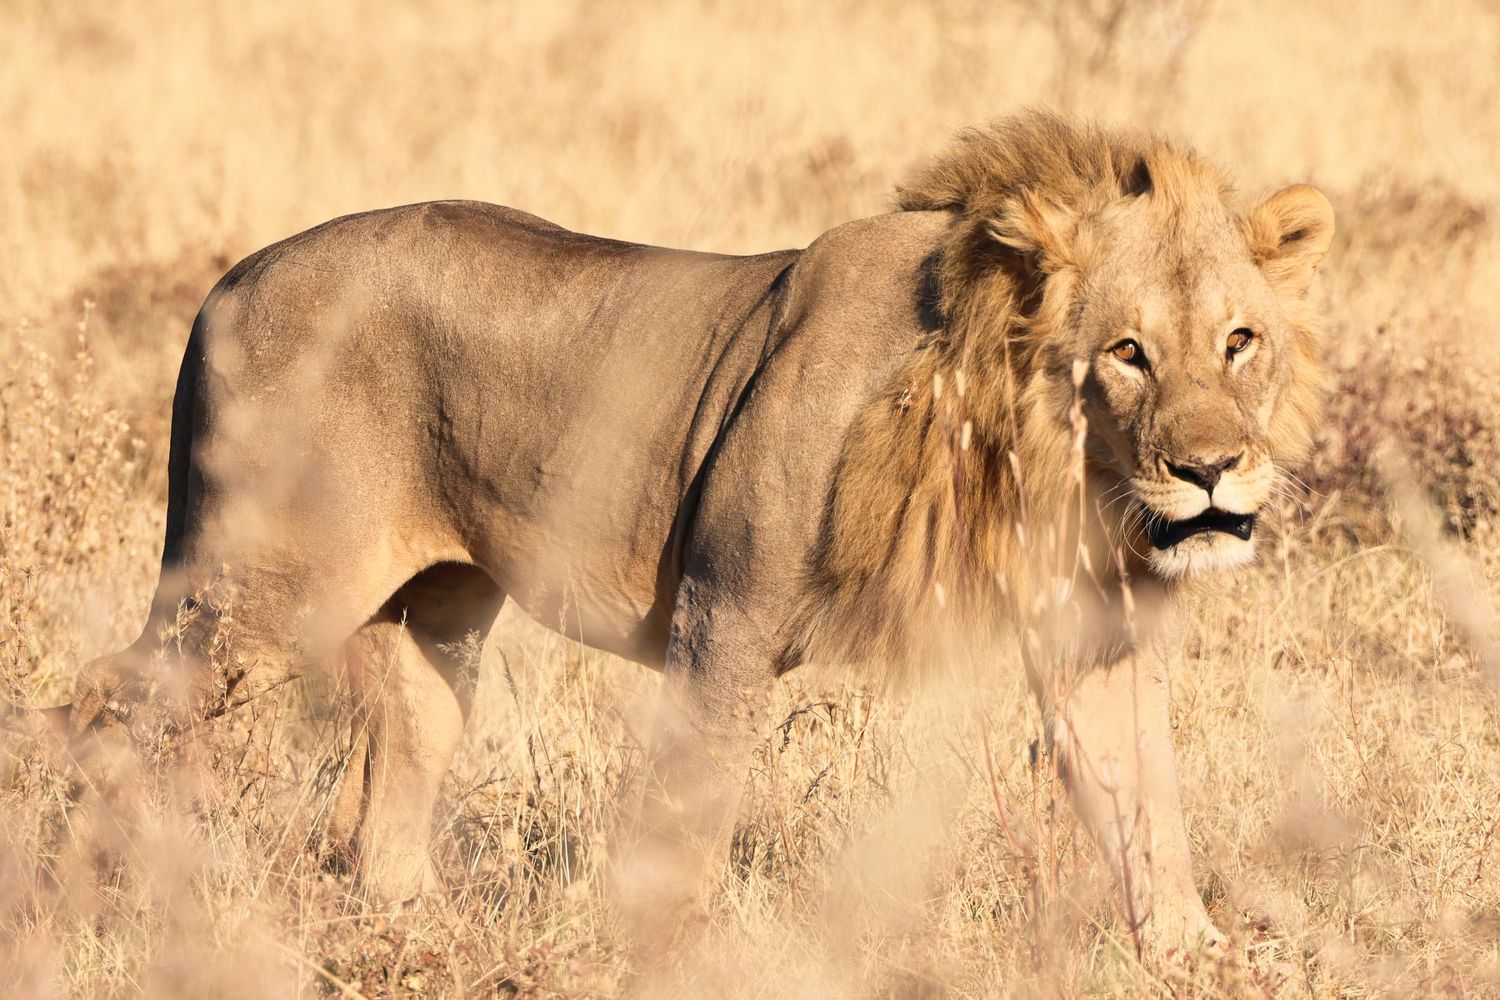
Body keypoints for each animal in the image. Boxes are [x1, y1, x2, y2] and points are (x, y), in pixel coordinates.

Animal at [60, 111, 1332, 951]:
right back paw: (116, 900)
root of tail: (228, 280)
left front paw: (1193, 950)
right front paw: (673, 946)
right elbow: (699, 796)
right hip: (265, 587)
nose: (1210, 471)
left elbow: (1141, 792)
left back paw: (415, 926)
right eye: (1127, 351)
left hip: (439, 612)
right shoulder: (728, 608)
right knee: (110, 697)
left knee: (398, 763)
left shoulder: (1095, 630)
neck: (1040, 454)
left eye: (1239, 340)